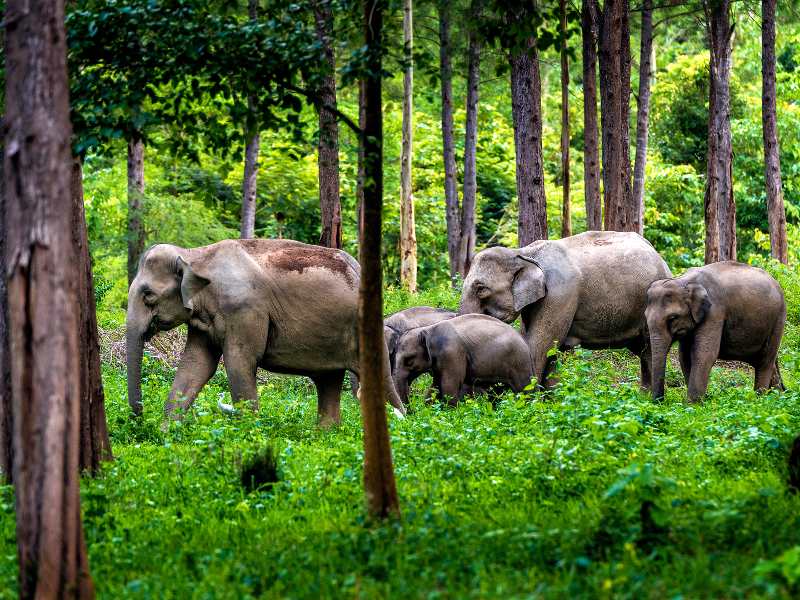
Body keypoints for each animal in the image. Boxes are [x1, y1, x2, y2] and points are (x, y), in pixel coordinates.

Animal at [126, 239, 406, 426]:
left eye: (148, 295)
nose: (140, 417)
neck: (196, 254)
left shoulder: (245, 311)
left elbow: (239, 363)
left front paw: (249, 435)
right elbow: (196, 364)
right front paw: (166, 433)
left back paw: (400, 426)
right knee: (328, 380)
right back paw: (327, 434)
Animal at [392, 314, 533, 404]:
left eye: (409, 360)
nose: (412, 412)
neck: (427, 330)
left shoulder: (452, 353)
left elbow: (448, 385)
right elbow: (435, 386)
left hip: (519, 362)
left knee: (525, 389)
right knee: (497, 392)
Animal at [459, 231, 672, 388]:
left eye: (481, 289)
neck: (525, 253)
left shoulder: (560, 294)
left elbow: (539, 346)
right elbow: (550, 352)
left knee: (649, 349)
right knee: (644, 352)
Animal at [645, 261, 786, 402]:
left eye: (673, 318)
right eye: (645, 316)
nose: (659, 401)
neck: (683, 281)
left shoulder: (715, 312)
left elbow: (703, 354)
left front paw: (693, 404)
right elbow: (684, 356)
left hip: (778, 320)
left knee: (765, 361)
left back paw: (760, 399)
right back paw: (777, 396)